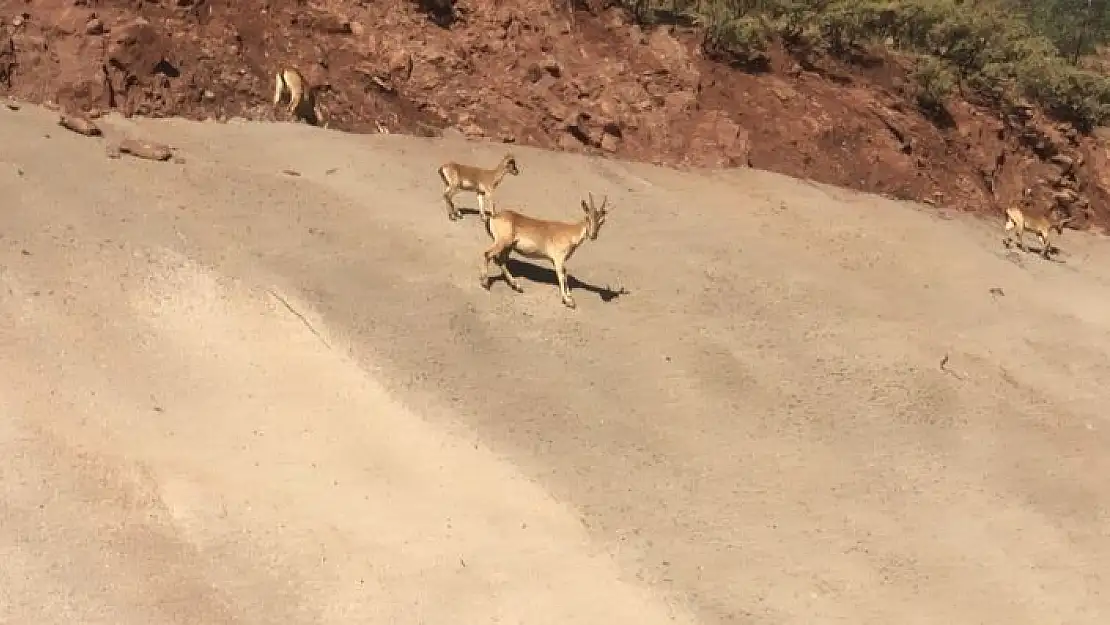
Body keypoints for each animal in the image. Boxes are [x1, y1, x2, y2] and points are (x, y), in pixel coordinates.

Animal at [481, 190, 612, 308]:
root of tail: (494, 217)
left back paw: (517, 286)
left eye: (602, 221)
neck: (570, 233)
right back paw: (485, 283)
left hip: (508, 246)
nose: (593, 235)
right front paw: (568, 301)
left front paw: (570, 297)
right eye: (587, 217)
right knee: (488, 254)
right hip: (502, 242)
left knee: (501, 260)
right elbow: (561, 275)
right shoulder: (558, 258)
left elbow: (565, 274)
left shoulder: (557, 260)